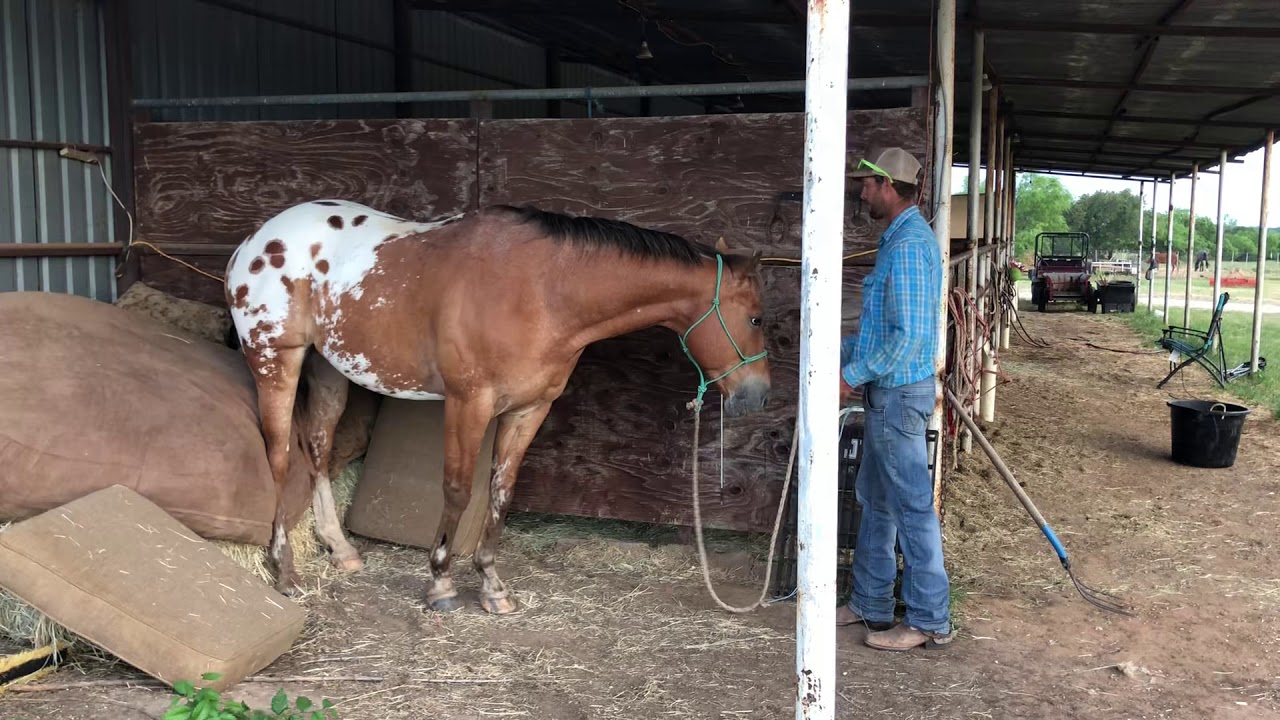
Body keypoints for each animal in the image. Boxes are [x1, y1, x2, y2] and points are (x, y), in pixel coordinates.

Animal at [224, 198, 773, 614]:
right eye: (757, 318)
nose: (759, 395)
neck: (542, 291)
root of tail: (252, 244)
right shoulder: (469, 404)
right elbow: (458, 489)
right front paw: (441, 583)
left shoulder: (529, 410)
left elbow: (502, 492)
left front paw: (491, 586)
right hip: (276, 361)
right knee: (279, 455)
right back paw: (285, 571)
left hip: (328, 369)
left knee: (317, 448)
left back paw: (340, 550)